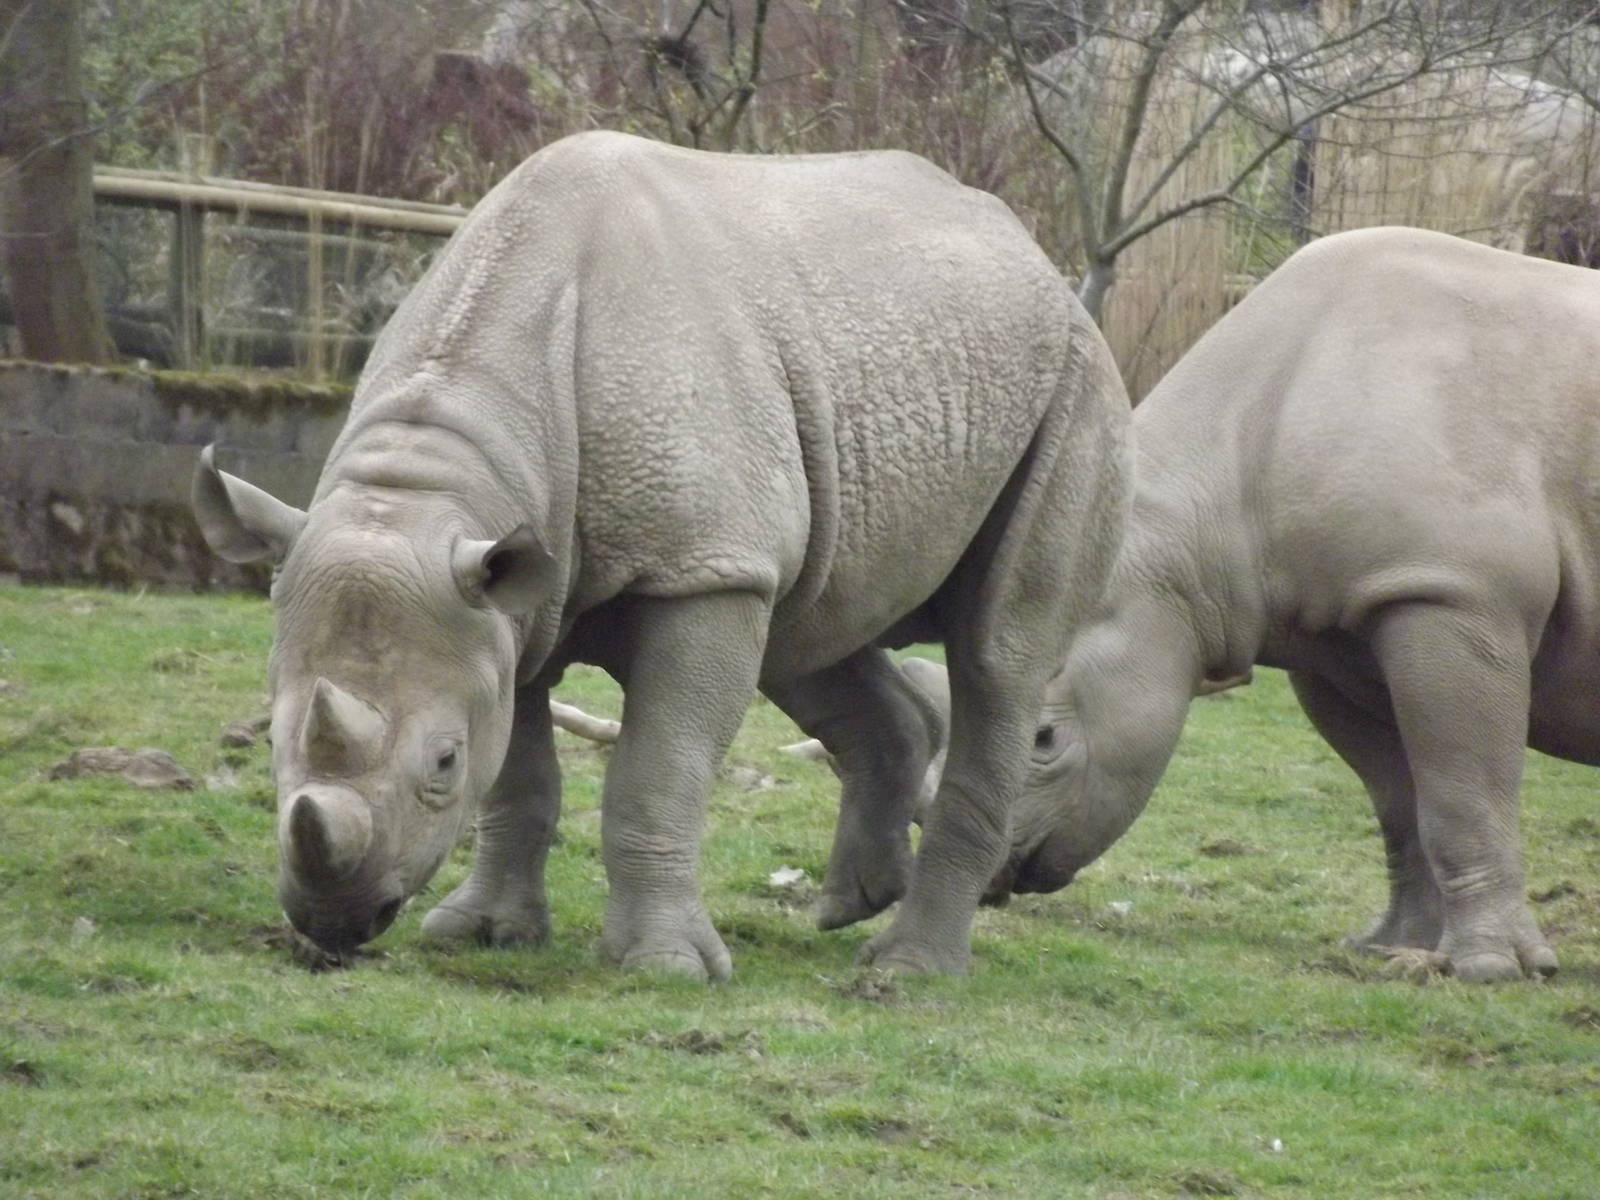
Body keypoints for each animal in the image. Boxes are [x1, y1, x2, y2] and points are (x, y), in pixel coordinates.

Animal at [190, 130, 1131, 979]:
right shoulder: (509, 597)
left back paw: (908, 975)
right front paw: (483, 934)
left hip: (1074, 380)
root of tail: (1030, 251)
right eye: (272, 736)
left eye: (443, 765)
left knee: (999, 654)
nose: (333, 922)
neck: (451, 467)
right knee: (811, 625)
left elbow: (657, 770)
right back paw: (849, 904)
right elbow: (519, 775)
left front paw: (664, 968)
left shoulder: (696, 569)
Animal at [907, 226, 1597, 981]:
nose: (993, 877)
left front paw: (1495, 970)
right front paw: (1391, 949)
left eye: (1043, 739)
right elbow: (1398, 798)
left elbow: (1464, 790)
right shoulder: (1340, 633)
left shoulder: (1454, 591)